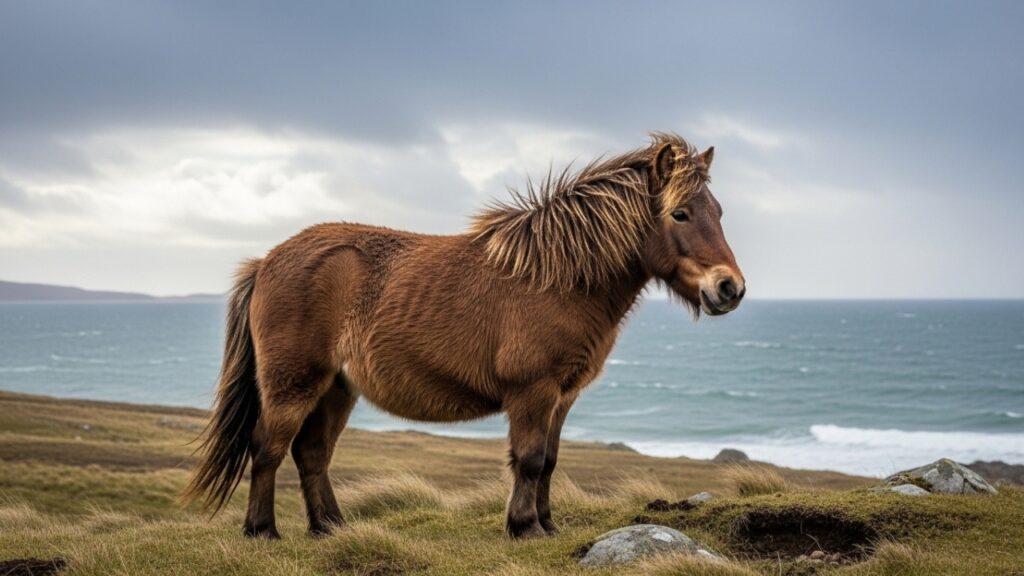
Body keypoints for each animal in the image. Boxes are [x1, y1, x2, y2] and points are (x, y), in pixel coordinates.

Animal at [183, 132, 746, 540]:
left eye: (719, 212)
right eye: (679, 213)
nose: (730, 288)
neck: (558, 278)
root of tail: (267, 260)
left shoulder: (562, 397)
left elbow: (550, 462)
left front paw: (547, 525)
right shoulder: (532, 392)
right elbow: (529, 459)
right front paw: (524, 529)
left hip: (337, 388)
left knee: (312, 453)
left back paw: (331, 529)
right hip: (294, 382)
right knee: (268, 447)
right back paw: (263, 532)